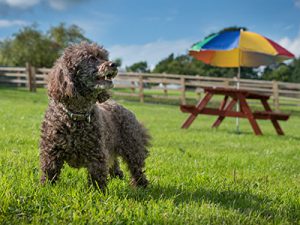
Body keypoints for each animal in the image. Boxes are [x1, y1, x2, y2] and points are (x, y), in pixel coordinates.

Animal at [39, 41, 151, 190]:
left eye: (104, 57)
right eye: (91, 58)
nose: (114, 64)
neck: (77, 115)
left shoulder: (96, 154)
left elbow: (97, 175)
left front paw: (97, 192)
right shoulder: (51, 152)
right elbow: (49, 171)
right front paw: (46, 188)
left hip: (132, 146)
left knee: (136, 168)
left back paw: (140, 185)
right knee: (114, 162)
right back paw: (118, 175)